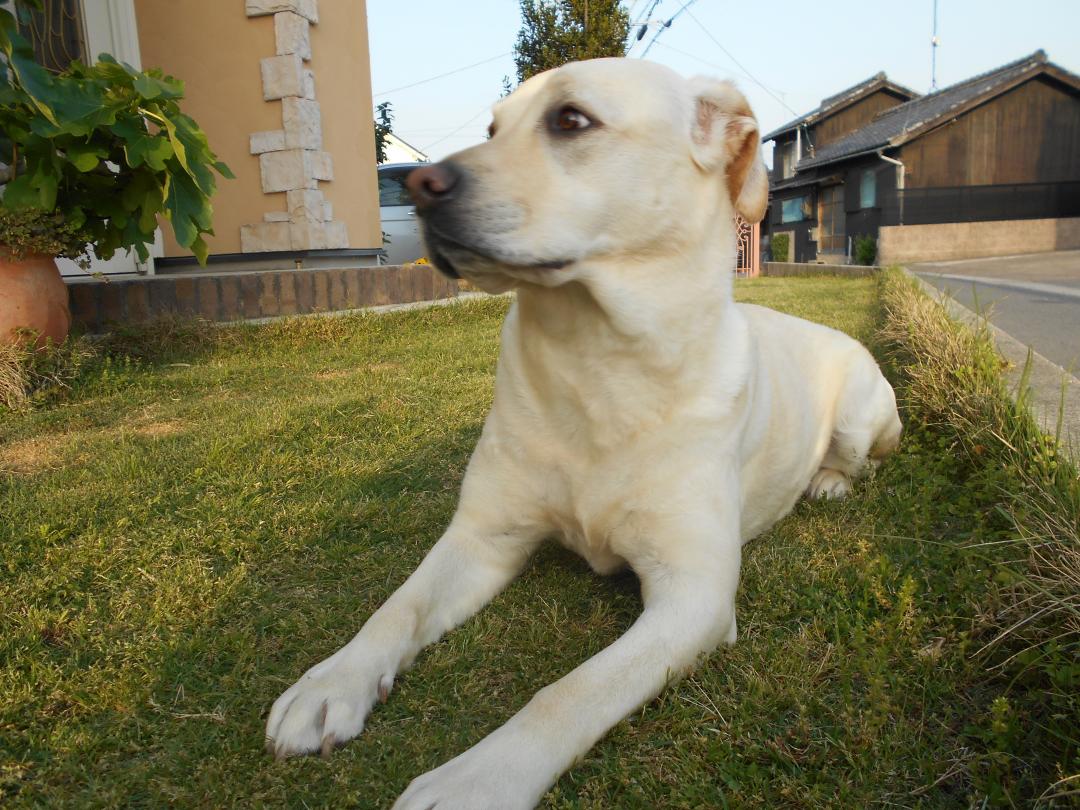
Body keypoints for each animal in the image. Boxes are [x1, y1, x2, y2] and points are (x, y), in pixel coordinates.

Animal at [267, 60, 902, 807]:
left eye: (570, 120)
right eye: (492, 129)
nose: (421, 186)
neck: (596, 362)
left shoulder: (694, 596)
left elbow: (569, 693)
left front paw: (476, 777)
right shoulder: (483, 536)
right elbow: (396, 608)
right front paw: (333, 680)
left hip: (861, 414)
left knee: (859, 458)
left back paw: (826, 481)